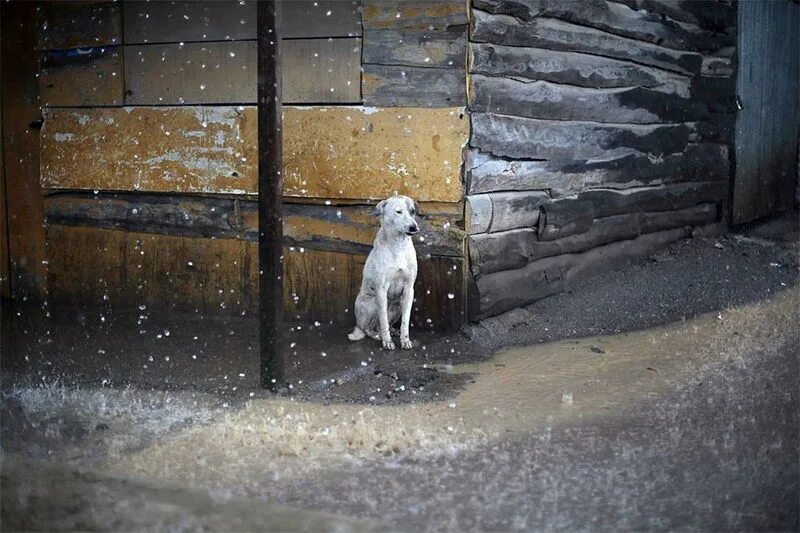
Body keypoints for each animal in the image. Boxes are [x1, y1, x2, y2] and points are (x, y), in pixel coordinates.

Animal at [352, 195, 424, 350]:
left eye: (413, 211)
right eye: (398, 212)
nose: (414, 228)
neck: (398, 246)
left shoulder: (409, 290)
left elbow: (405, 322)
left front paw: (405, 340)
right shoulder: (381, 289)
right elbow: (383, 319)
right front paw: (387, 341)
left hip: (397, 306)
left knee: (383, 325)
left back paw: (393, 331)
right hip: (372, 303)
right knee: (369, 328)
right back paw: (377, 335)